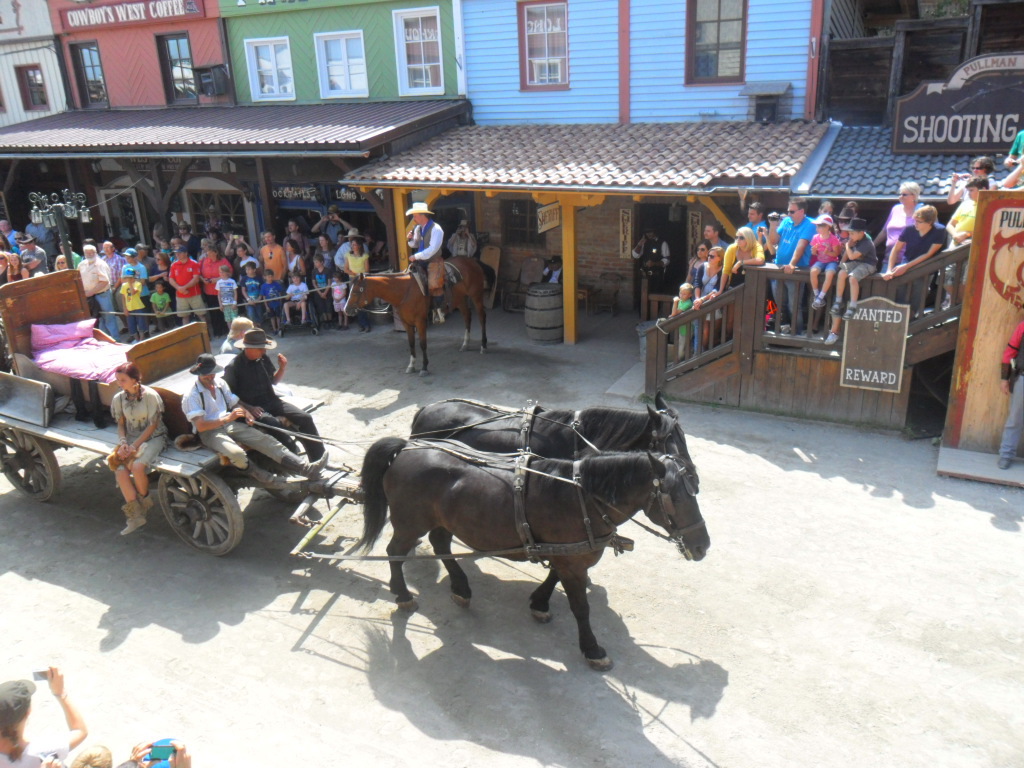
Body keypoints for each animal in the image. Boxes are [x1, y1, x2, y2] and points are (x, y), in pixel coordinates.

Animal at [345, 257, 487, 376]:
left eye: (357, 290)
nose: (346, 310)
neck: (404, 291)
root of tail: (472, 261)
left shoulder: (420, 322)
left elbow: (422, 344)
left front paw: (424, 368)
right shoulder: (406, 323)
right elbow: (411, 343)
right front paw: (411, 366)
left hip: (476, 296)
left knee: (482, 317)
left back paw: (483, 346)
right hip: (460, 300)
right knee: (467, 316)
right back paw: (465, 344)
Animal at [358, 436, 709, 670]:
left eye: (695, 490)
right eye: (675, 498)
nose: (702, 546)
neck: (582, 497)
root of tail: (406, 446)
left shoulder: (565, 554)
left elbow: (553, 575)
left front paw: (539, 603)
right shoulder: (573, 563)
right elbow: (581, 607)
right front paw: (592, 649)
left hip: (443, 518)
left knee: (440, 543)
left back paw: (460, 587)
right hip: (409, 523)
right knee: (395, 552)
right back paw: (403, 595)